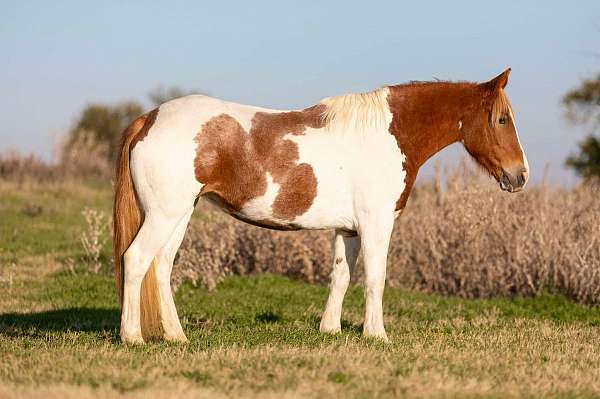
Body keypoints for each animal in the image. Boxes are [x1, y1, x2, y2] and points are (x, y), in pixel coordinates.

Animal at [113, 68, 528, 344]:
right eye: (501, 119)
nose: (520, 175)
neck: (389, 135)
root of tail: (148, 118)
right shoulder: (376, 224)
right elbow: (375, 278)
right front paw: (377, 335)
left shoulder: (348, 229)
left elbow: (341, 276)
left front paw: (330, 329)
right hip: (165, 215)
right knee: (136, 260)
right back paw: (132, 337)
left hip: (180, 214)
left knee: (161, 266)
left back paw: (176, 337)